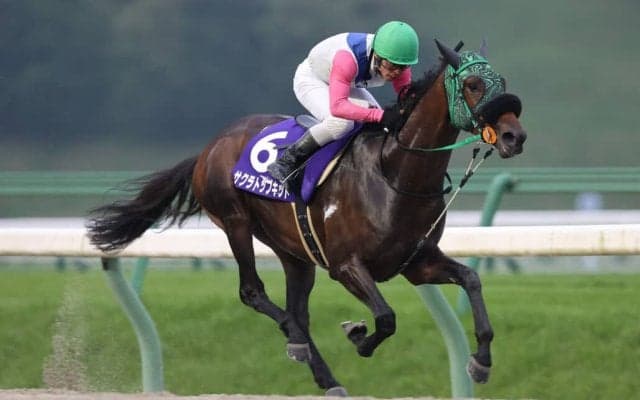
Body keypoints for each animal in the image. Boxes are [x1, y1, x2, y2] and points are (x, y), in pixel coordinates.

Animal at [87, 39, 526, 396]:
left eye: (501, 80)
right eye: (473, 85)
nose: (514, 137)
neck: (395, 175)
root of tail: (209, 147)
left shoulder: (417, 263)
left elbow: (471, 279)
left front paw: (481, 361)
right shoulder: (346, 265)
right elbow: (386, 318)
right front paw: (358, 335)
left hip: (294, 251)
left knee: (297, 309)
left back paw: (326, 377)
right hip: (235, 222)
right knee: (254, 293)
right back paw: (296, 340)